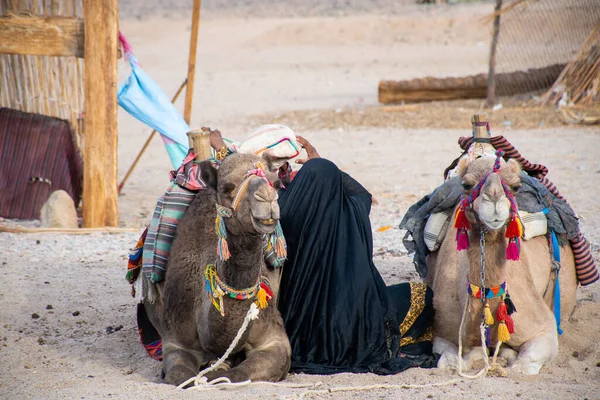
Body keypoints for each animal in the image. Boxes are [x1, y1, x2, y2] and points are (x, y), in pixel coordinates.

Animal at [141, 152, 290, 384]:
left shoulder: (274, 338)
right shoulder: (176, 339)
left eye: (275, 183)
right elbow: (179, 376)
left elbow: (238, 374)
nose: (266, 198)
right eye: (227, 187)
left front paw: (217, 372)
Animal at [424, 152, 580, 376]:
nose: (494, 198)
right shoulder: (441, 333)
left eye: (515, 186)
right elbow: (449, 360)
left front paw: (507, 356)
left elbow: (523, 367)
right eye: (466, 184)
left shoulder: (544, 329)